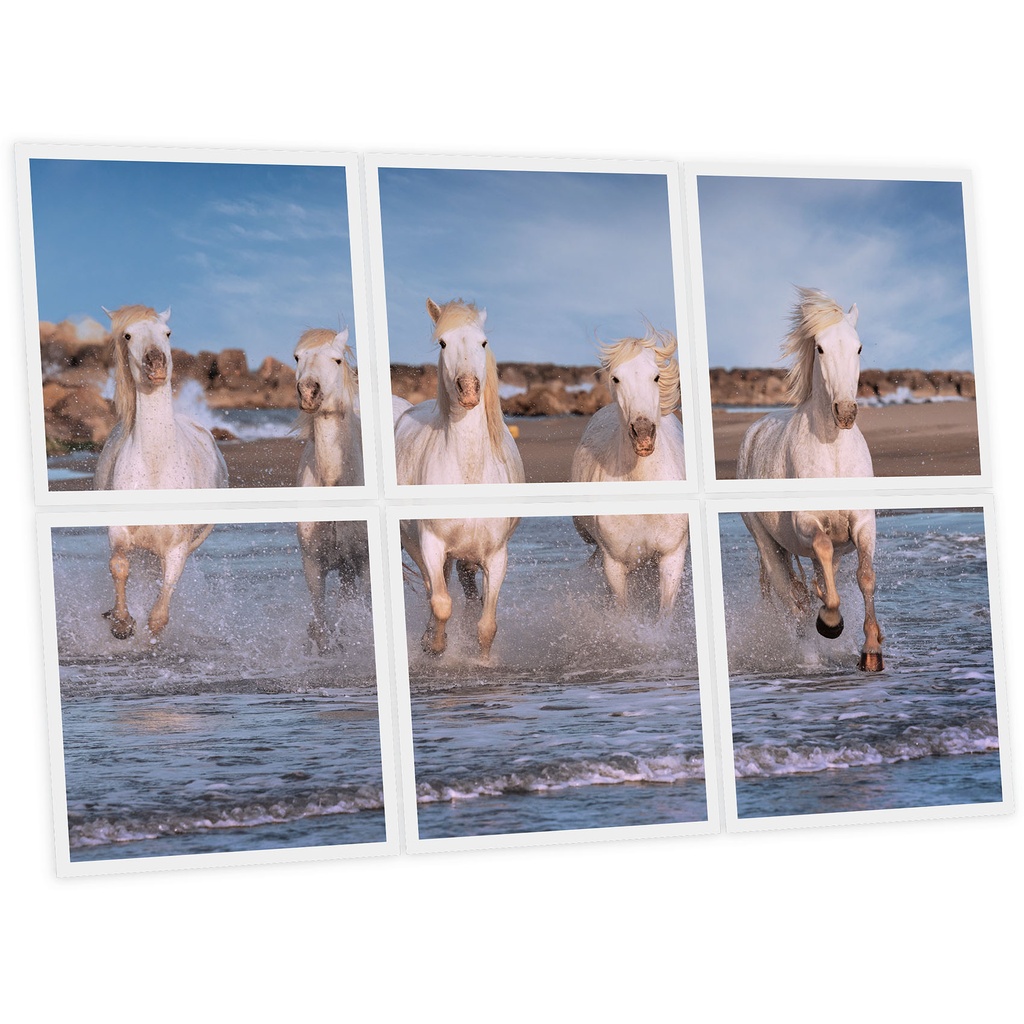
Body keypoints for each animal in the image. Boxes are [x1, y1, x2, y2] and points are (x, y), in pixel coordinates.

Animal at [93, 305, 228, 640]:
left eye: (167, 333)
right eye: (128, 335)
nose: (156, 364)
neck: (156, 464)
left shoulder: (178, 547)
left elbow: (162, 604)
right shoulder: (119, 532)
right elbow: (119, 566)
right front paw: (121, 622)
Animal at [394, 298, 525, 659]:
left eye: (483, 342)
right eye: (442, 343)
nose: (468, 390)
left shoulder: (495, 555)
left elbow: (487, 624)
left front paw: (483, 663)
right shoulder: (431, 544)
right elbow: (440, 603)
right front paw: (435, 646)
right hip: (417, 546)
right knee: (433, 589)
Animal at [736, 287, 883, 672]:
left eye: (858, 348)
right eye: (820, 348)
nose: (845, 412)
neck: (833, 452)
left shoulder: (864, 523)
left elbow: (865, 577)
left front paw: (872, 651)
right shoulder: (808, 523)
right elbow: (821, 553)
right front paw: (830, 623)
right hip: (768, 545)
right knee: (793, 598)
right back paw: (810, 653)